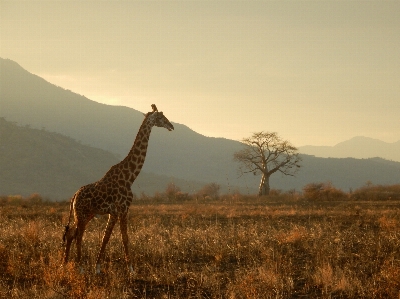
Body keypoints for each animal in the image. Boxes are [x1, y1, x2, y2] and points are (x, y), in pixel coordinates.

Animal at [62, 103, 173, 274]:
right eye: (161, 116)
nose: (171, 126)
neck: (130, 177)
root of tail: (74, 196)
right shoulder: (120, 210)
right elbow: (116, 238)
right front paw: (128, 269)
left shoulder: (117, 212)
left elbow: (113, 238)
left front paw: (102, 267)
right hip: (81, 214)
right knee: (78, 235)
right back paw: (79, 267)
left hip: (85, 214)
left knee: (71, 234)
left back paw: (65, 264)